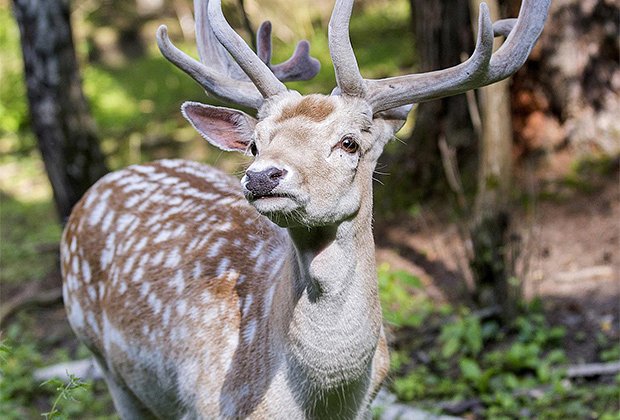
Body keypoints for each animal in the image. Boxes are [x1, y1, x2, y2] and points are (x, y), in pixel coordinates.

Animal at [60, 1, 548, 418]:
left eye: (349, 142)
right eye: (255, 145)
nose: (261, 176)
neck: (322, 397)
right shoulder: (202, 404)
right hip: (104, 361)